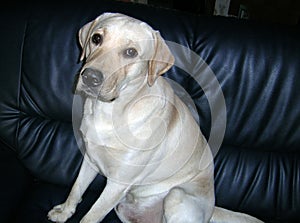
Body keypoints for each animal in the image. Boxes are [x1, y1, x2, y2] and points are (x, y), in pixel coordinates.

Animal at [48, 12, 264, 223]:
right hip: (124, 208)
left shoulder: (118, 184)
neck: (111, 111)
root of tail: (212, 211)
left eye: (131, 52)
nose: (90, 77)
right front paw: (64, 212)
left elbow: (92, 215)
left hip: (175, 196)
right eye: (96, 39)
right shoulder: (90, 159)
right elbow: (76, 189)